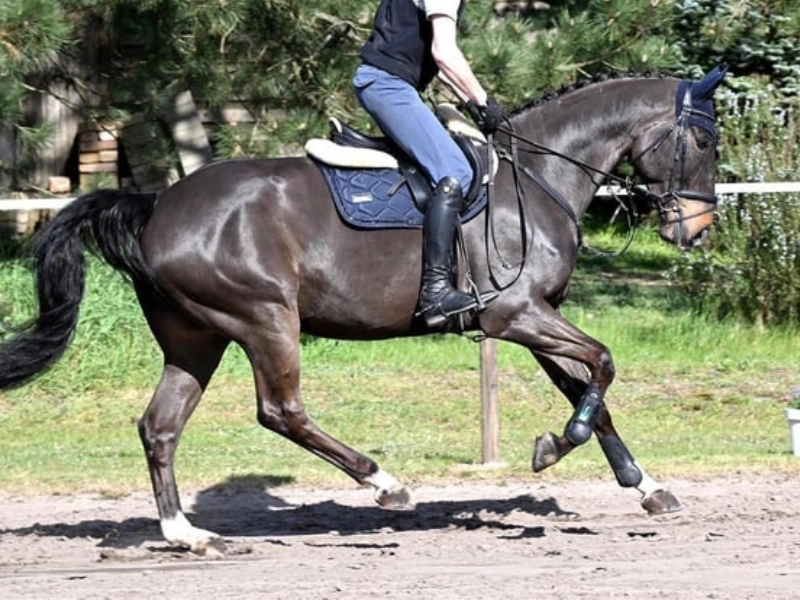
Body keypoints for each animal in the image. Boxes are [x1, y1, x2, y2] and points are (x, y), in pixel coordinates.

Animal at [0, 67, 726, 556]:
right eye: (704, 143)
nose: (696, 231)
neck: (539, 177)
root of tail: (156, 204)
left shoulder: (535, 318)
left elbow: (592, 395)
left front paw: (645, 485)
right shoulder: (513, 315)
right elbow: (603, 364)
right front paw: (553, 447)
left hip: (196, 339)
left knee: (160, 427)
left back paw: (189, 535)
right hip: (266, 319)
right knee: (281, 411)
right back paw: (385, 485)